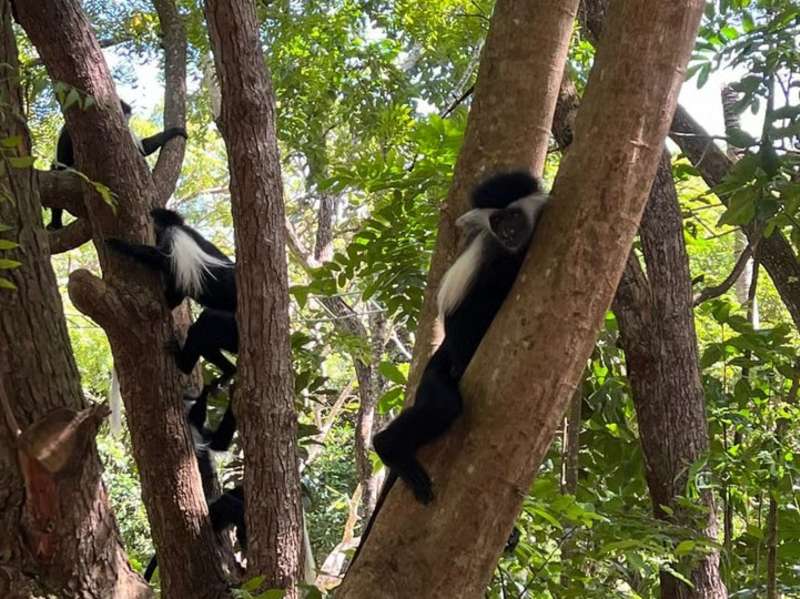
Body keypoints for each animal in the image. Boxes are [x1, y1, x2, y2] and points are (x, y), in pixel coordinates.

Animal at [48, 99, 187, 230]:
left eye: (126, 116)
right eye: (123, 114)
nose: (125, 121)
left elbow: (143, 148)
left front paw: (174, 132)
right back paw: (55, 223)